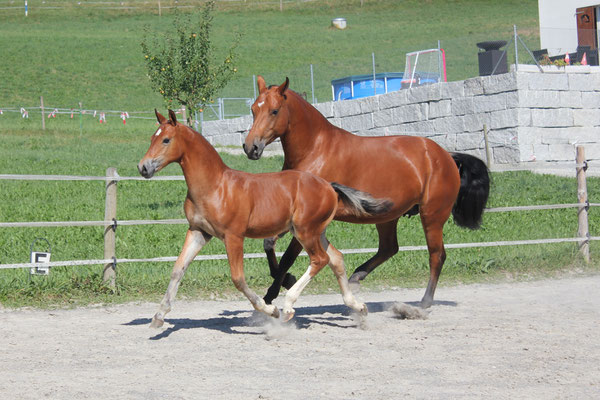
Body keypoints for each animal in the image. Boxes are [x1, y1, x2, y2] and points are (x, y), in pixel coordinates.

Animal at [245, 76, 492, 308]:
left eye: (274, 110)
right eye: (254, 109)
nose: (251, 148)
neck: (315, 150)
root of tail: (446, 156)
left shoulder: (308, 223)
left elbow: (287, 257)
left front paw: (275, 291)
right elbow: (269, 244)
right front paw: (281, 284)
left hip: (432, 215)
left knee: (436, 255)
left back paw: (424, 302)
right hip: (387, 217)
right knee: (389, 248)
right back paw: (356, 275)